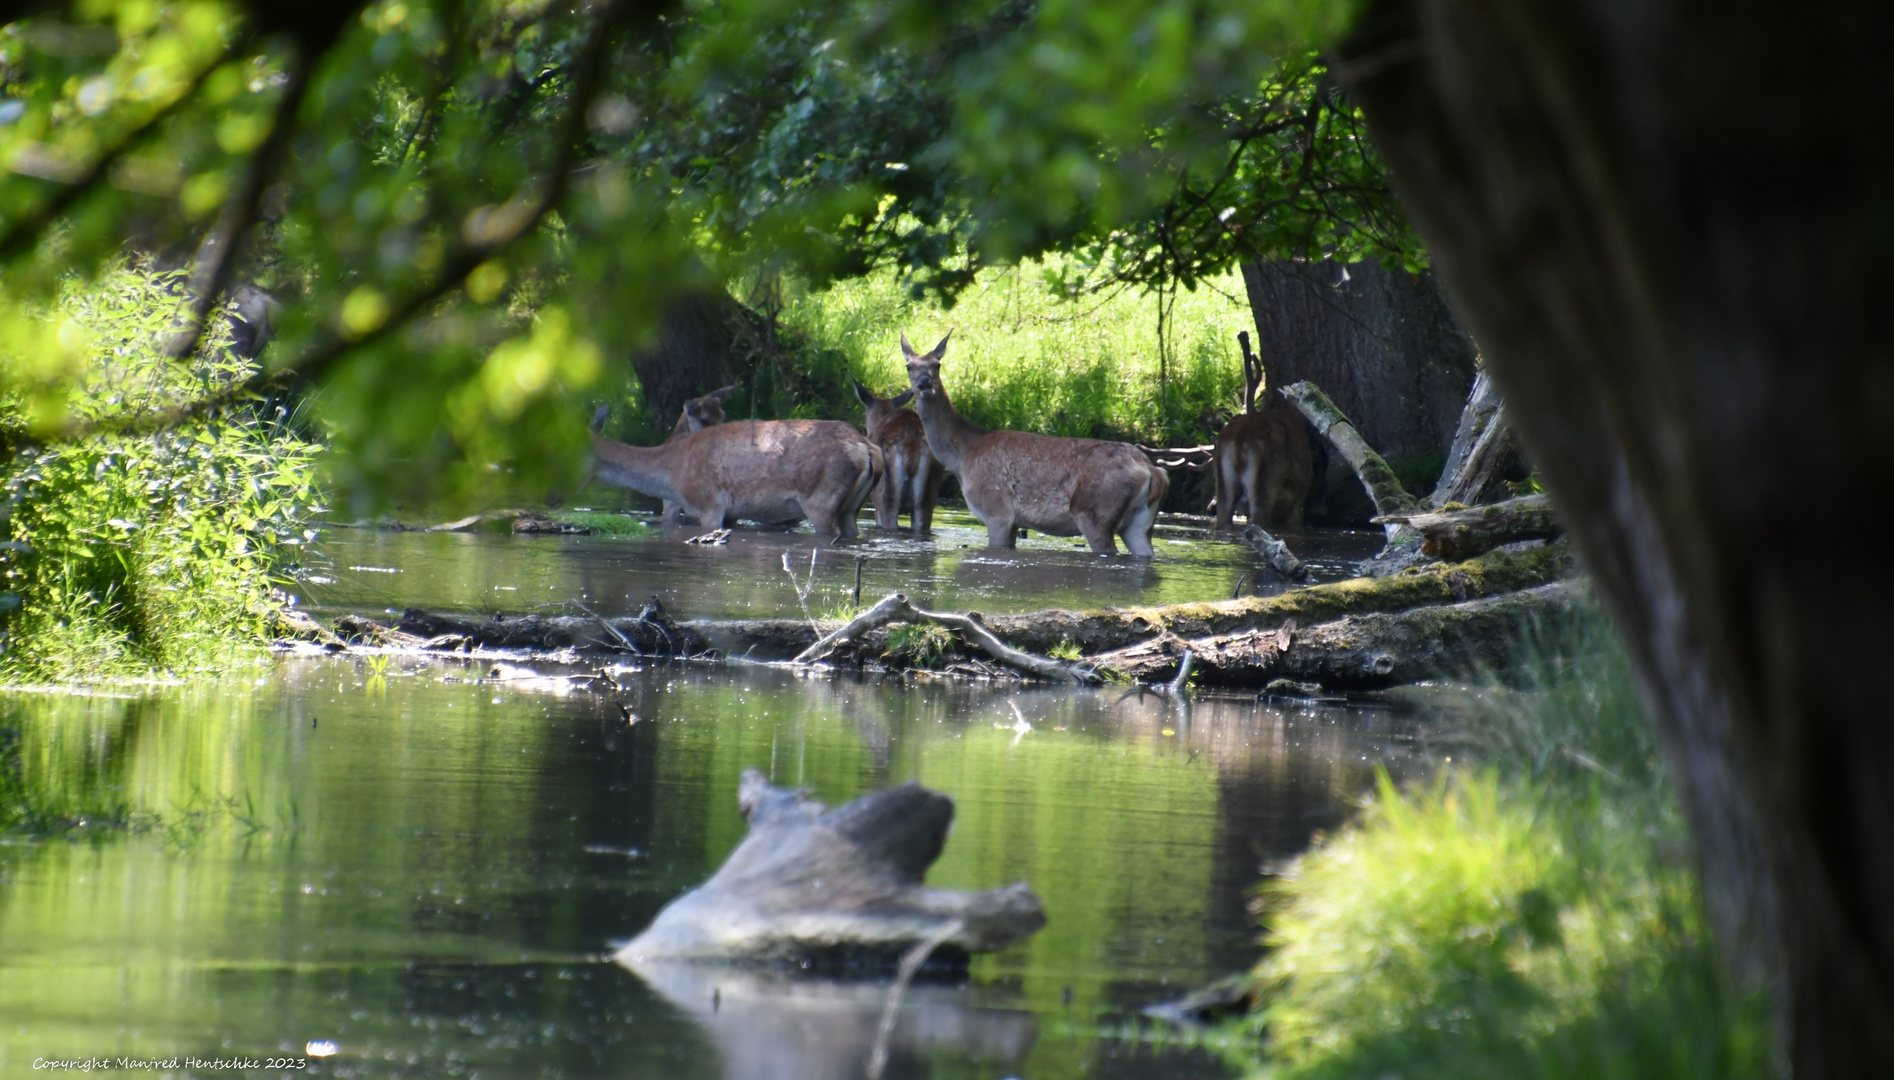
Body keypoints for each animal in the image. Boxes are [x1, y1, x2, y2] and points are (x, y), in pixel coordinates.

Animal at [587, 403, 882, 538]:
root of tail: (868, 449)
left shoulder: (709, 505)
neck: (672, 473)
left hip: (821, 501)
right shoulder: (731, 513)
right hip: (850, 509)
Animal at [901, 329, 1166, 553]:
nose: (924, 383)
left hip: (1095, 513)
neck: (963, 455)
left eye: (937, 364)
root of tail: (1152, 470)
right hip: (1140, 523)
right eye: (908, 365)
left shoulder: (997, 511)